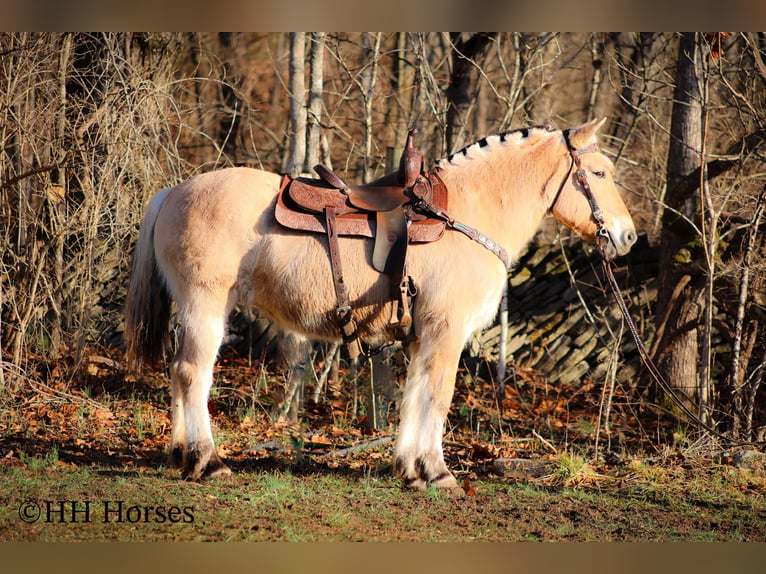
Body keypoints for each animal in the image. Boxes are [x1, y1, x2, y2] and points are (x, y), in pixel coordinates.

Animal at [126, 117, 640, 490]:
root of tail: (174, 192)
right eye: (599, 173)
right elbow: (439, 396)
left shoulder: (421, 337)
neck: (462, 215)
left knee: (178, 371)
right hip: (205, 306)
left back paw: (181, 455)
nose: (628, 237)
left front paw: (410, 469)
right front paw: (437, 471)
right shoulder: (446, 332)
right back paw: (207, 460)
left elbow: (414, 396)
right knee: (193, 373)